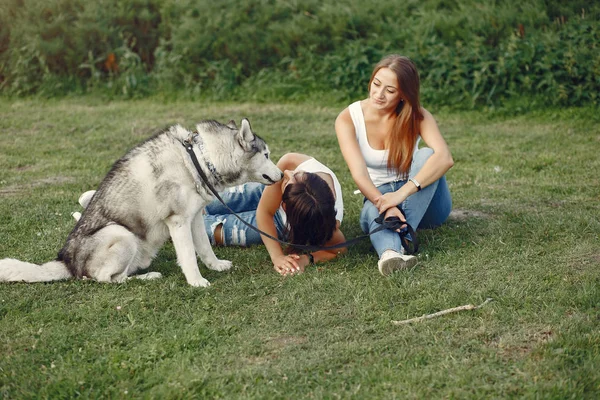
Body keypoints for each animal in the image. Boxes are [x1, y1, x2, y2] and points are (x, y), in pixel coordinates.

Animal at [0, 117, 282, 286]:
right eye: (267, 155)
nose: (281, 175)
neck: (199, 158)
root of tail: (66, 262)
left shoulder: (193, 218)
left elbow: (204, 249)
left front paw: (216, 266)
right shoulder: (177, 221)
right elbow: (189, 257)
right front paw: (196, 282)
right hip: (120, 234)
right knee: (107, 278)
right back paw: (148, 277)